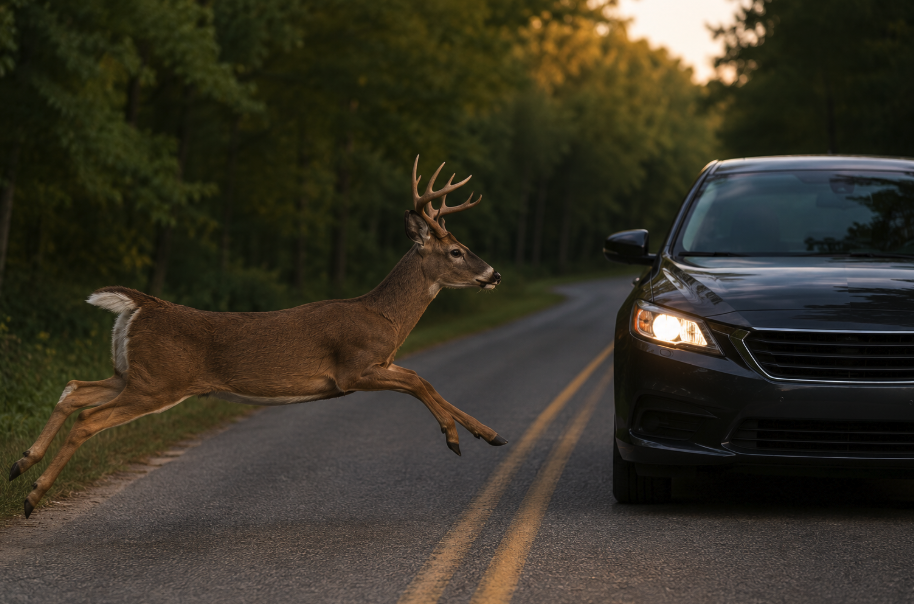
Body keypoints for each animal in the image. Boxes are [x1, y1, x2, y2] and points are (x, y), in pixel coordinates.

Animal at [8, 156, 507, 519]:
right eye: (456, 251)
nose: (494, 274)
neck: (384, 317)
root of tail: (142, 305)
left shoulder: (379, 364)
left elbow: (429, 382)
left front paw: (489, 434)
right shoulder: (352, 369)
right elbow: (420, 381)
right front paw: (453, 437)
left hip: (129, 373)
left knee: (73, 389)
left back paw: (21, 464)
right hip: (158, 383)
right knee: (88, 418)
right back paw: (33, 496)